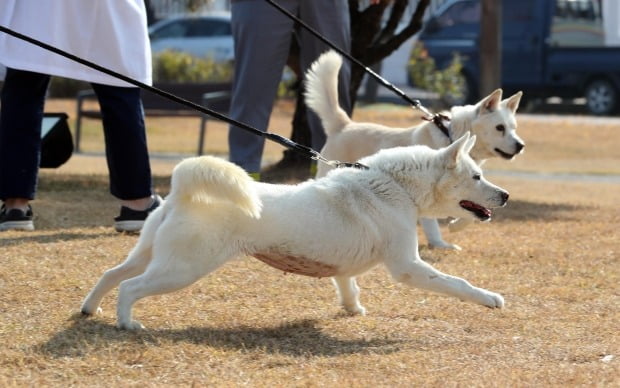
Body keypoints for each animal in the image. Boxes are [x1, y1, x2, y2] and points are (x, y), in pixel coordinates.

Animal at [81, 132, 508, 328]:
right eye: (477, 176)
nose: (504, 195)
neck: (393, 186)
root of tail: (182, 192)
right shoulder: (409, 267)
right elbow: (456, 283)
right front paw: (490, 298)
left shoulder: (346, 268)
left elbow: (348, 285)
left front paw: (352, 308)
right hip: (181, 269)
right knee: (129, 287)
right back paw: (126, 322)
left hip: (152, 255)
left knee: (112, 274)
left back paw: (89, 309)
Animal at [306, 50, 524, 250]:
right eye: (500, 128)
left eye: (513, 127)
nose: (520, 146)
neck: (449, 136)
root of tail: (344, 125)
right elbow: (435, 223)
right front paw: (441, 242)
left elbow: (470, 209)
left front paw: (455, 226)